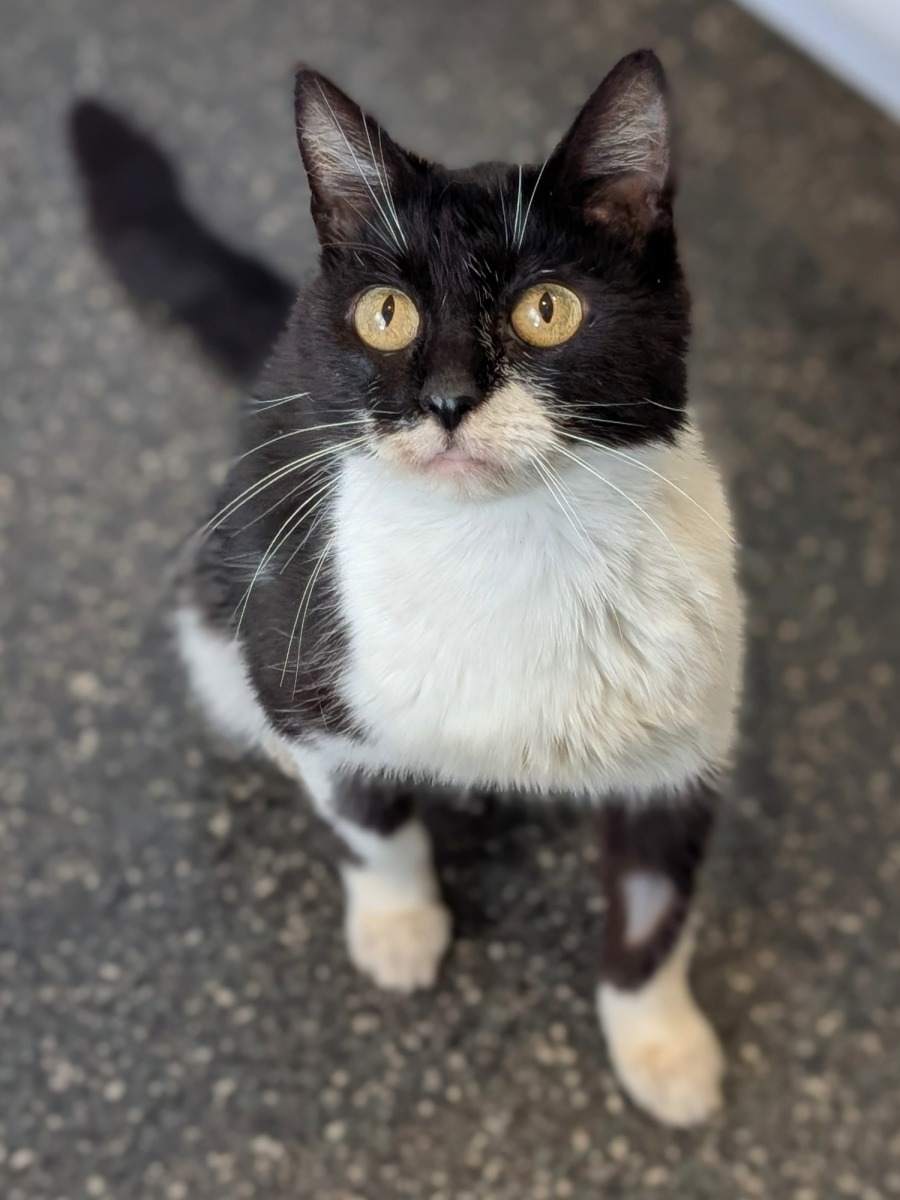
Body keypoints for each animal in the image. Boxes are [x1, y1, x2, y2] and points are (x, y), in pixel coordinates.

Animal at [70, 49, 745, 1128]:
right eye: (386, 315)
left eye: (547, 310)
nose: (446, 399)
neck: (502, 546)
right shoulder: (307, 657)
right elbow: (370, 821)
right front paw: (398, 924)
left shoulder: (688, 734)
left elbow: (655, 913)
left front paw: (664, 1049)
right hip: (229, 566)